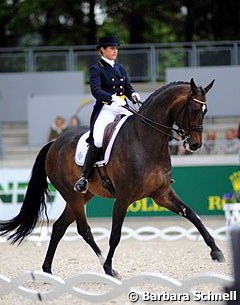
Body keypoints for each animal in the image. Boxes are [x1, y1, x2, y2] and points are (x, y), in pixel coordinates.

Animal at [0, 78, 225, 276]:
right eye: (194, 109)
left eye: (205, 111)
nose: (195, 145)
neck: (145, 140)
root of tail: (54, 143)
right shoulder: (124, 197)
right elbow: (115, 234)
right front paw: (109, 268)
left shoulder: (161, 194)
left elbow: (192, 214)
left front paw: (216, 251)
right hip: (72, 195)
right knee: (84, 229)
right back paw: (102, 265)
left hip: (84, 195)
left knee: (59, 227)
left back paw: (47, 269)